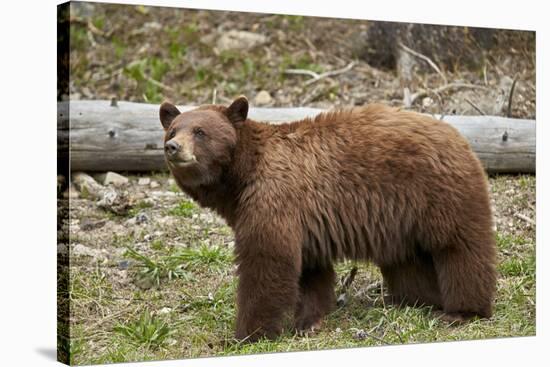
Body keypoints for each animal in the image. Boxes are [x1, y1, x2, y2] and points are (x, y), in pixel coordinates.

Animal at [160, 95, 500, 342]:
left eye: (200, 132)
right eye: (173, 129)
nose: (172, 147)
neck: (241, 177)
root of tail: (458, 135)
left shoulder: (274, 198)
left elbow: (267, 261)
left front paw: (246, 333)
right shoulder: (305, 220)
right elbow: (310, 271)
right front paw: (310, 320)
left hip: (437, 193)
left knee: (459, 248)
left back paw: (462, 311)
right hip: (402, 220)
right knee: (408, 262)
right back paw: (416, 300)